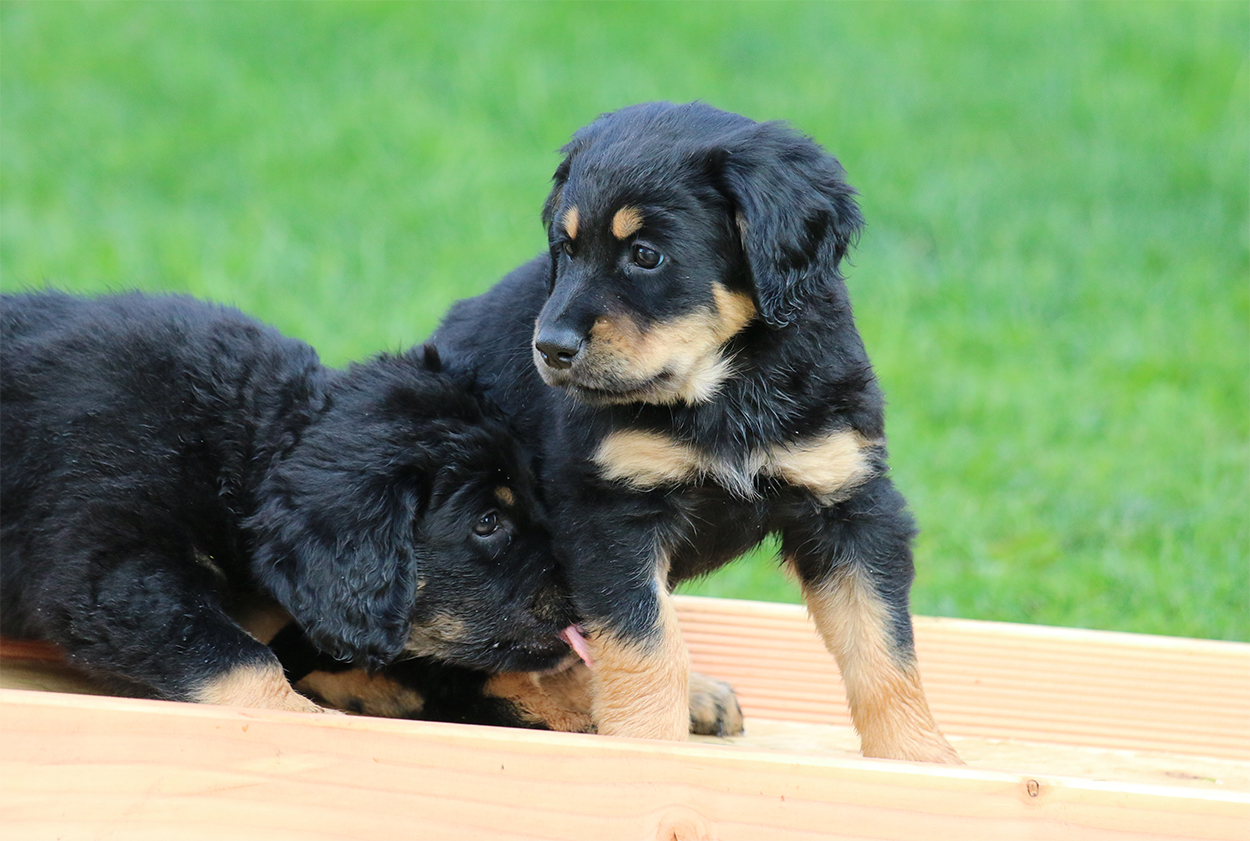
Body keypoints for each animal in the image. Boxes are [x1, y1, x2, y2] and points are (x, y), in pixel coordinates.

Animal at [433, 101, 960, 762]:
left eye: (646, 255)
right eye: (565, 248)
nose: (550, 349)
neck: (725, 387)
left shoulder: (848, 502)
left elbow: (883, 647)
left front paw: (920, 757)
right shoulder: (610, 514)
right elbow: (647, 647)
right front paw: (647, 749)